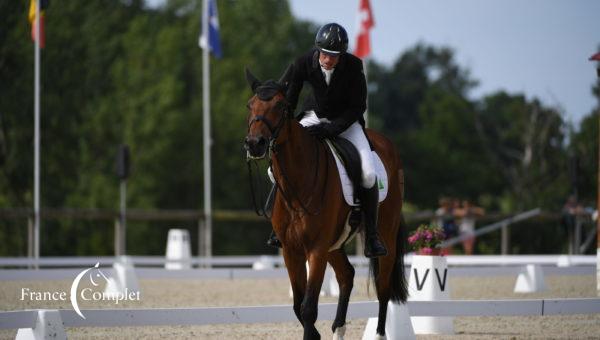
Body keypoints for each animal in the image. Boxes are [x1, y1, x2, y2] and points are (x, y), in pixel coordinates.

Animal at [244, 65, 408, 338]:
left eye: (281, 106)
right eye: (250, 105)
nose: (255, 143)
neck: (299, 182)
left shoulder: (316, 249)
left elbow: (309, 307)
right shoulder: (292, 250)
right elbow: (298, 305)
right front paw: (316, 334)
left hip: (384, 233)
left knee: (383, 287)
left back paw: (378, 333)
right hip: (334, 244)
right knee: (346, 275)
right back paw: (338, 329)